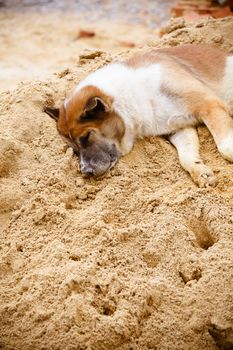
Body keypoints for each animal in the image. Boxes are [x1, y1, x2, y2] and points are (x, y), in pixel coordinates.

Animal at [44, 45, 233, 187]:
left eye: (86, 136)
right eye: (74, 150)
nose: (86, 172)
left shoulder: (209, 105)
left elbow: (225, 148)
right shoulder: (178, 128)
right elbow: (186, 155)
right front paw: (201, 173)